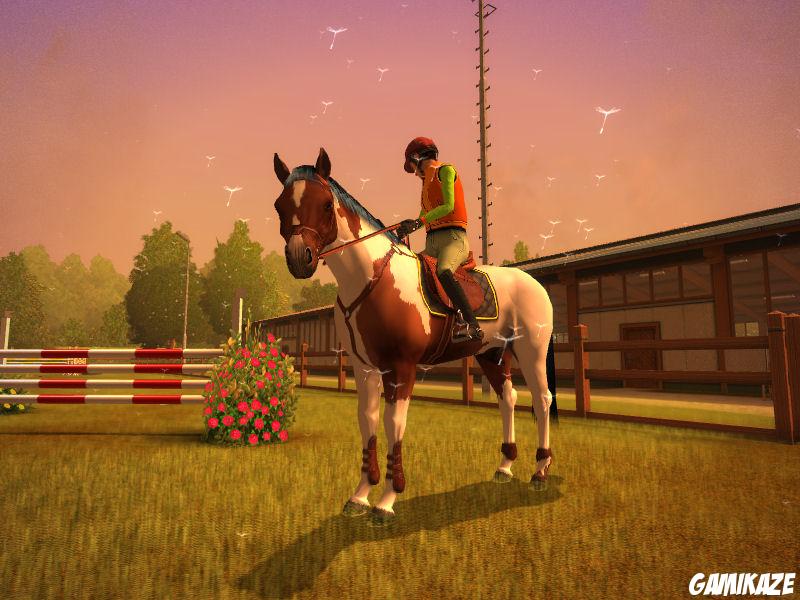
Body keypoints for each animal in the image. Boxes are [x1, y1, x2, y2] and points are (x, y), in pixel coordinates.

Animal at [272, 148, 556, 526]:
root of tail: (533, 282)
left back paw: (540, 471)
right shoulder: (364, 369)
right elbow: (367, 420)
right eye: (280, 205)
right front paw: (360, 495)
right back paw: (505, 467)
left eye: (325, 204)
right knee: (507, 398)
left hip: (530, 350)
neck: (370, 278)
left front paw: (387, 499)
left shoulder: (401, 368)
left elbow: (394, 423)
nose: (299, 259)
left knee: (541, 399)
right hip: (490, 353)